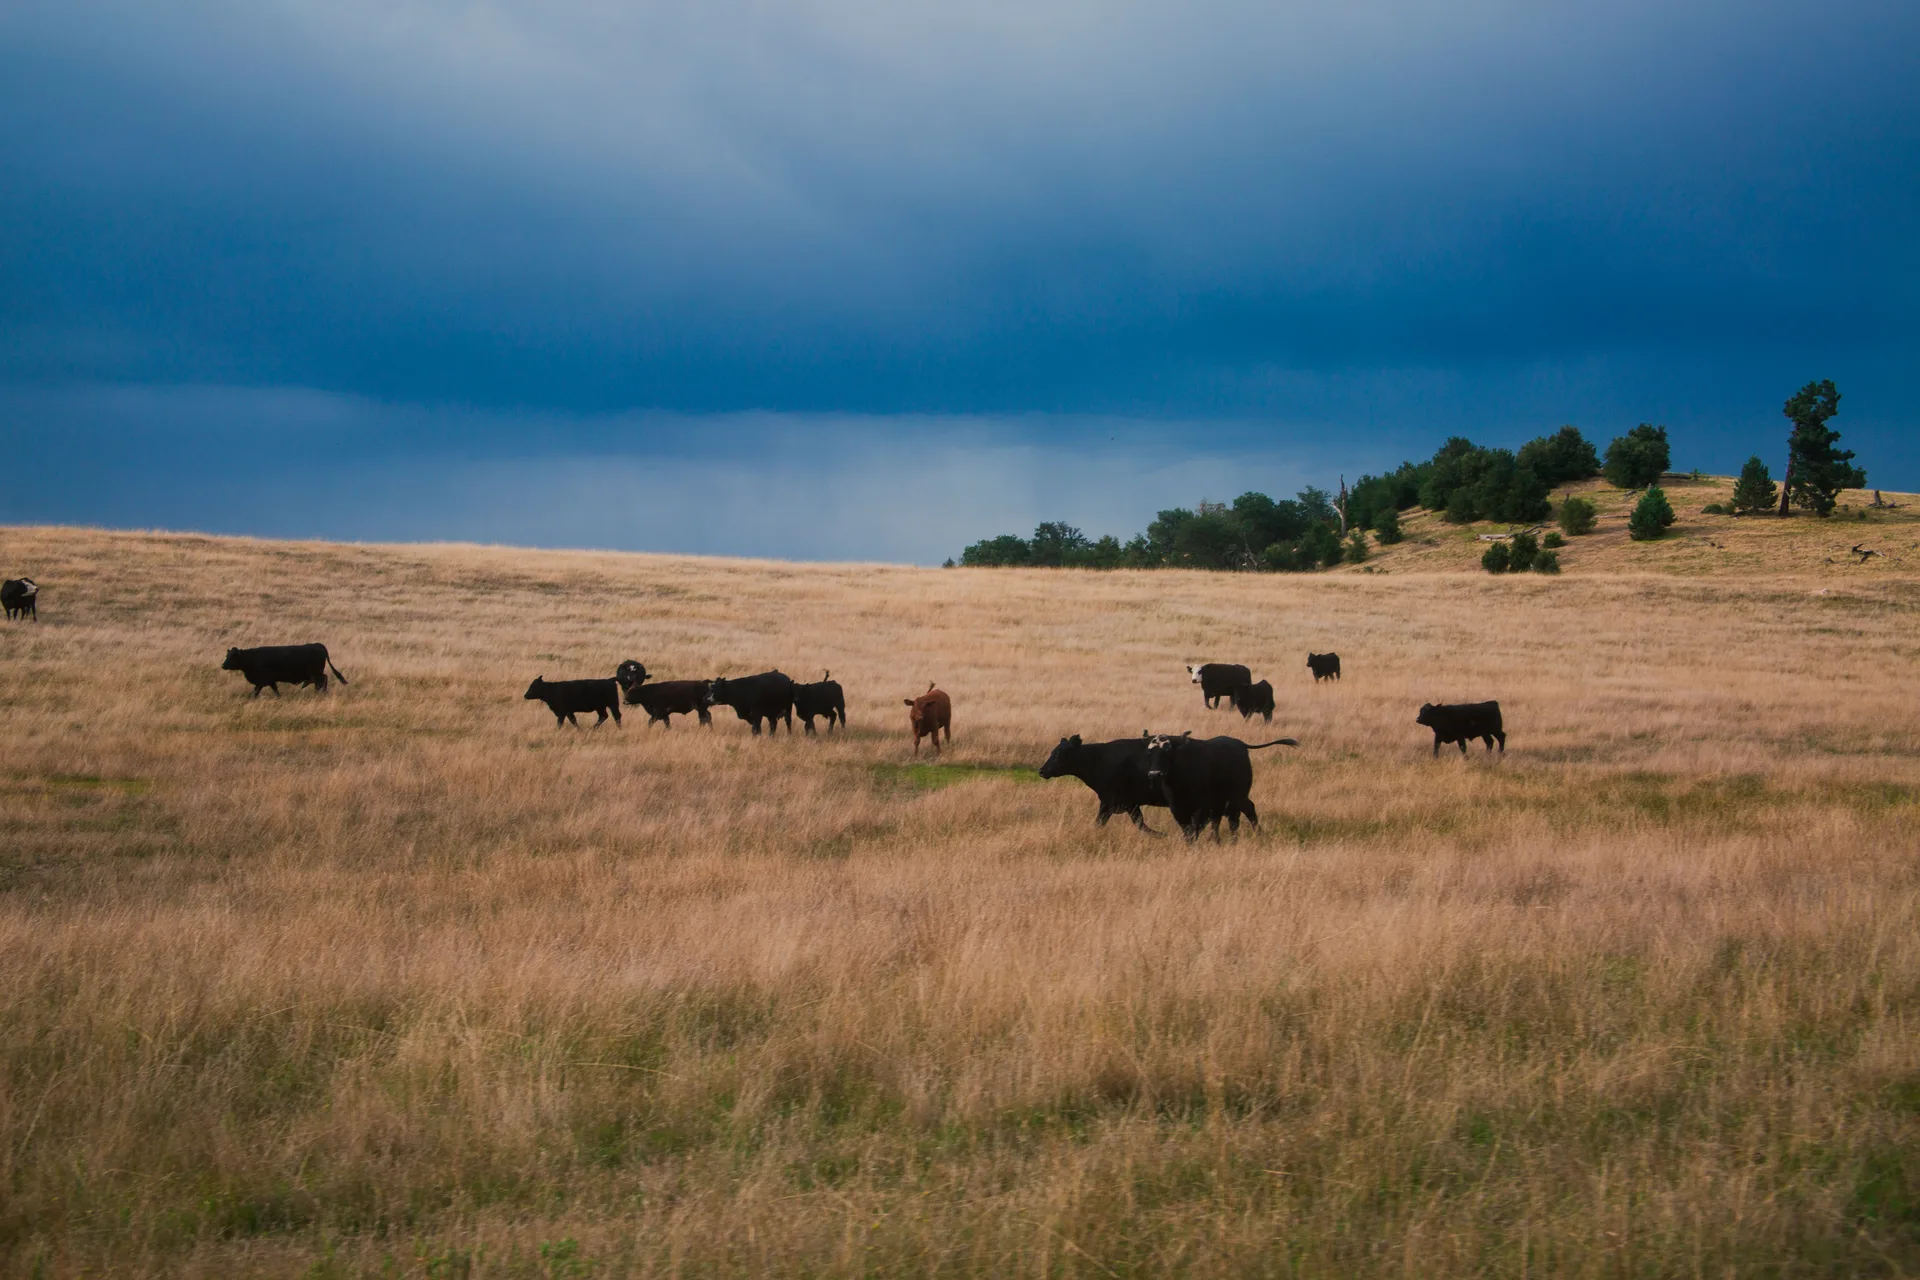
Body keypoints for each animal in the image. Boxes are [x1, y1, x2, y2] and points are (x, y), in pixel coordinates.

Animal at [1037, 733, 1166, 833]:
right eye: (1052, 752)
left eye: (1057, 755)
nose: (1041, 771)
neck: (1098, 761)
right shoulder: (1130, 804)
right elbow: (1141, 823)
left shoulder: (1108, 801)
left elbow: (1099, 822)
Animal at [1144, 731, 1298, 841]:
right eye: (1150, 752)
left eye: (1167, 750)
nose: (1154, 774)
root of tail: (1241, 744)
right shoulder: (1177, 809)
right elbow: (1188, 830)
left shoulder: (1202, 807)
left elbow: (1195, 828)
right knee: (1225, 818)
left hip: (1238, 797)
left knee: (1241, 815)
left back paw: (1252, 836)